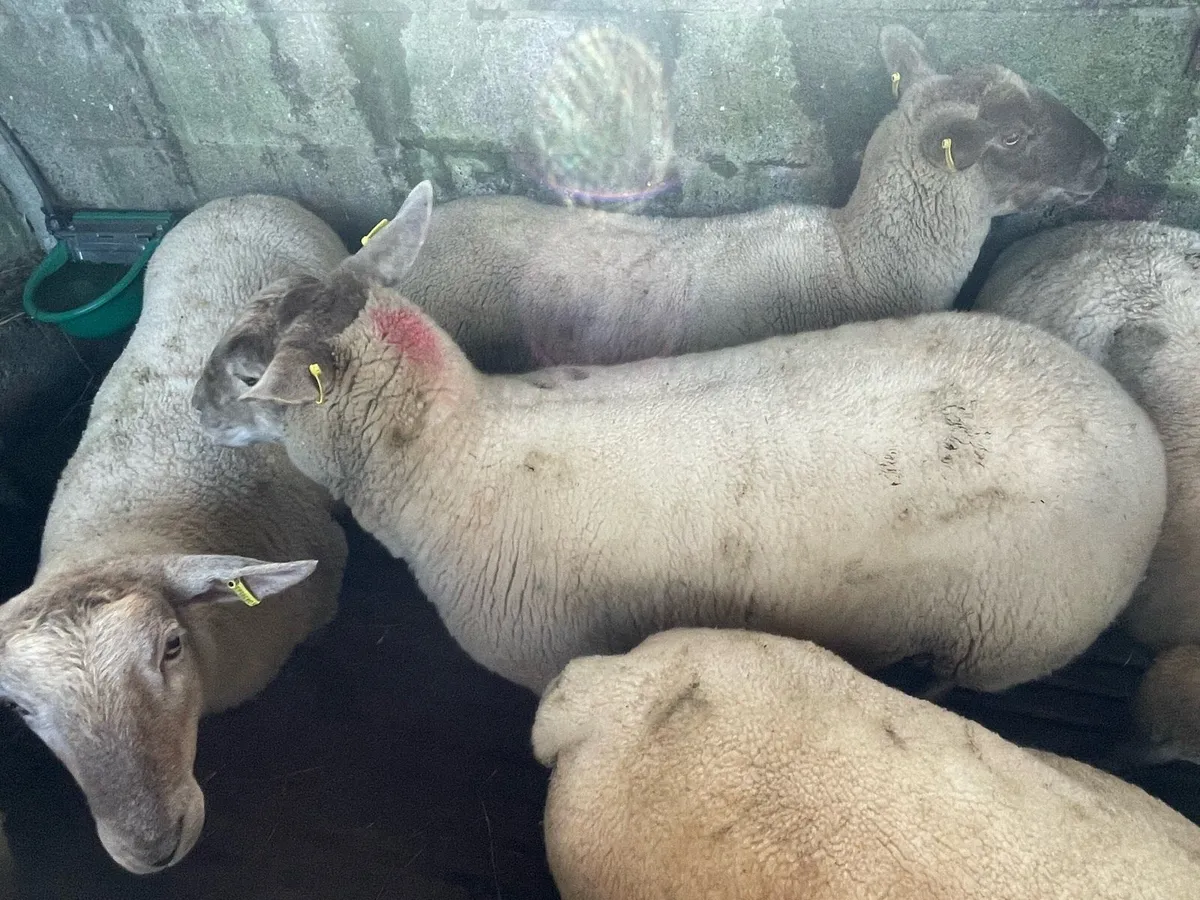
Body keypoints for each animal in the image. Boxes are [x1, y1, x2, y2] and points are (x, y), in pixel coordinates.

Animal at [191, 180, 1165, 699]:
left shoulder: (549, 656)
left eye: (248, 371)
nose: (193, 408)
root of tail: (1138, 432)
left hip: (1010, 632)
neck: (454, 456)